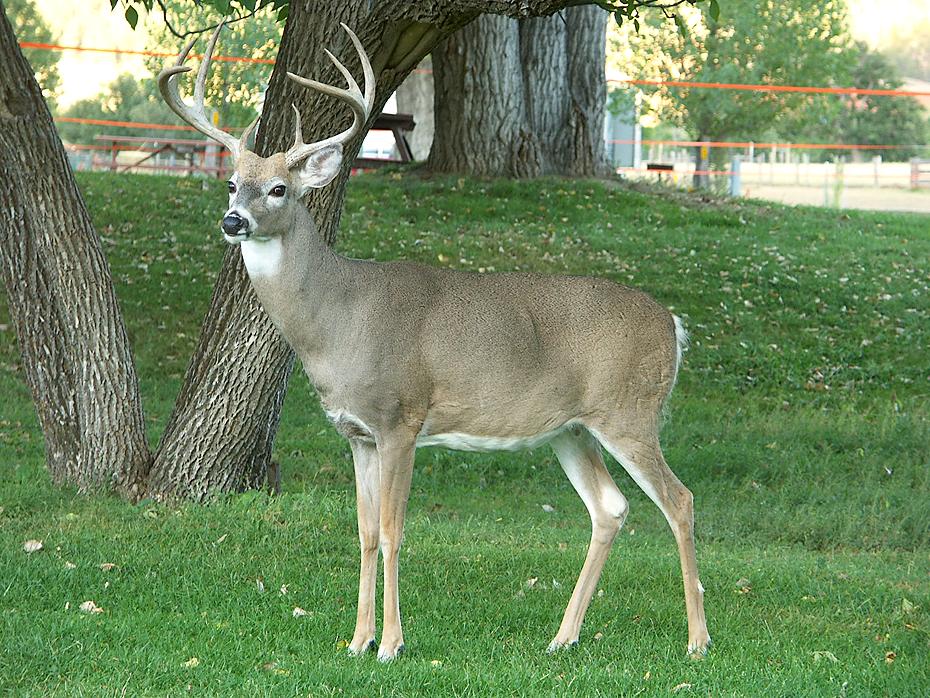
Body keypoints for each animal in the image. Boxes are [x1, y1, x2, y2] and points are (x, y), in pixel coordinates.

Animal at [158, 23, 711, 663]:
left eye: (277, 188)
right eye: (231, 183)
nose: (233, 221)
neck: (336, 320)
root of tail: (674, 324)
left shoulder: (401, 417)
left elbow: (395, 531)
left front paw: (392, 644)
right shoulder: (357, 433)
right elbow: (365, 532)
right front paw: (357, 641)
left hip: (630, 410)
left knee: (679, 500)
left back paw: (697, 641)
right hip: (570, 429)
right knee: (610, 508)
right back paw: (562, 637)